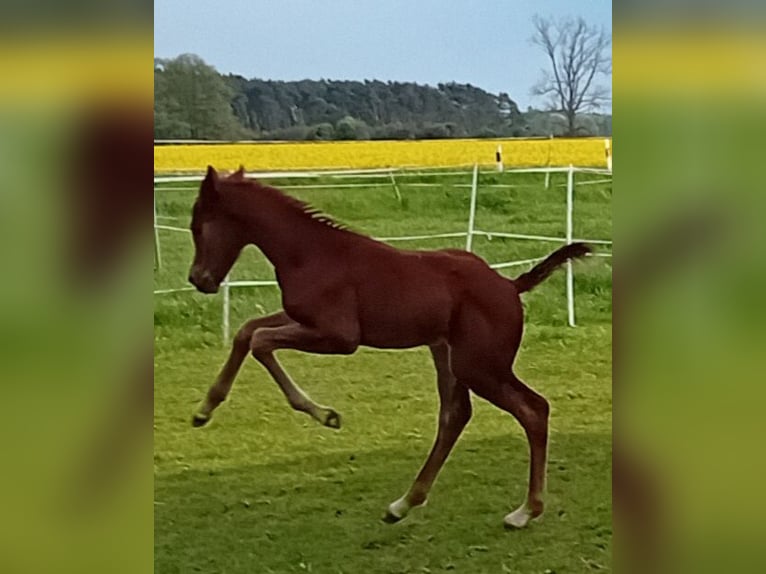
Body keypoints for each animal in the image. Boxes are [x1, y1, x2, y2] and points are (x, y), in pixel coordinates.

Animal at [188, 165, 591, 529]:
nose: (198, 280)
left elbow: (260, 341)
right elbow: (246, 331)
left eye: (198, 225)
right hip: (447, 355)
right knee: (456, 415)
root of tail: (509, 285)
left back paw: (524, 512)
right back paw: (403, 504)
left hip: (480, 366)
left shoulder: (339, 336)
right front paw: (203, 411)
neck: (309, 252)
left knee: (533, 410)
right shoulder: (303, 319)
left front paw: (325, 415)